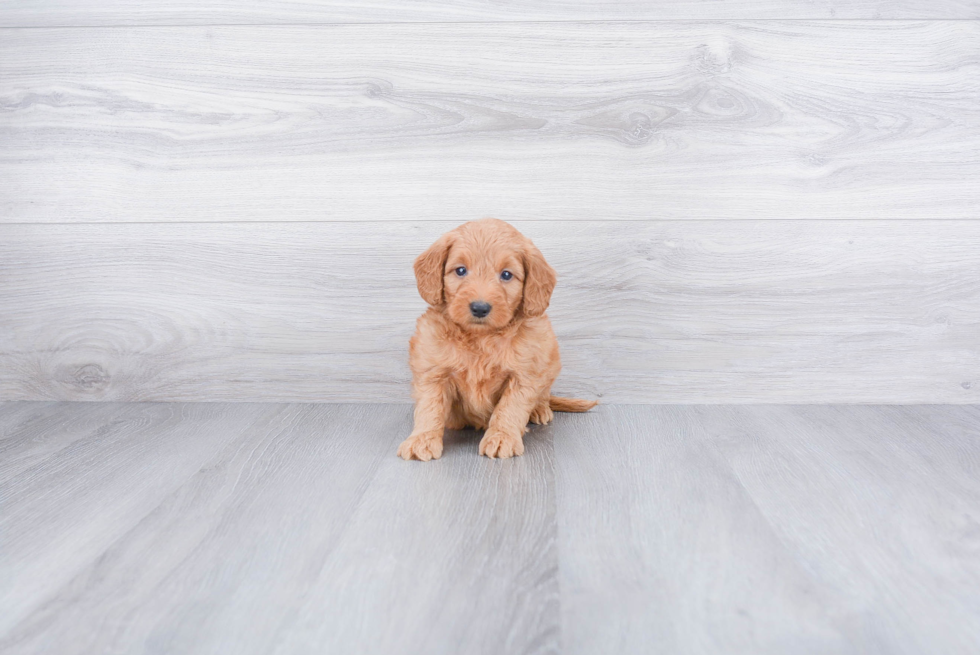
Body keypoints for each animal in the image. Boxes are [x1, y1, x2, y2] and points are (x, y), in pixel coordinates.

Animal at [398, 220, 596, 462]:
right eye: (461, 270)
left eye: (507, 275)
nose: (480, 308)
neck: (481, 338)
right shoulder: (432, 371)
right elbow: (429, 407)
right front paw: (422, 439)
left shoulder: (524, 375)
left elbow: (509, 408)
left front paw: (502, 437)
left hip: (549, 360)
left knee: (543, 395)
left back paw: (540, 409)